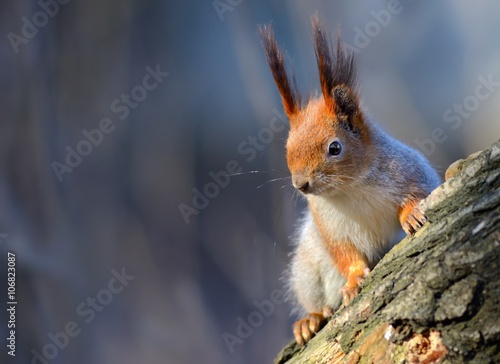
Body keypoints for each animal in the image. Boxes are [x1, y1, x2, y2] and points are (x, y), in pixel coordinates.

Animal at [260, 16, 440, 346]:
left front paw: (411, 215)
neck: (350, 189)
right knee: (314, 296)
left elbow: (419, 192)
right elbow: (344, 254)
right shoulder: (329, 226)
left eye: (335, 148)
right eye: (287, 149)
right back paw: (310, 319)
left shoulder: (412, 171)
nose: (300, 184)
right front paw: (355, 278)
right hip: (307, 267)